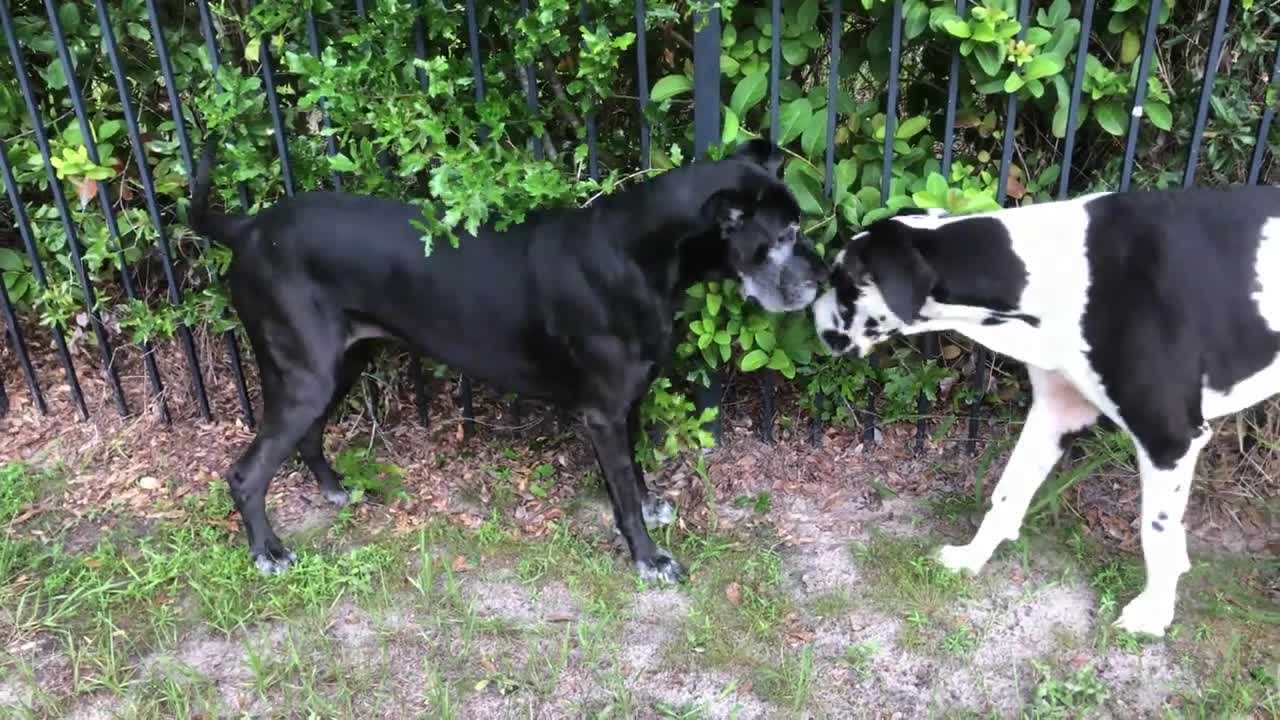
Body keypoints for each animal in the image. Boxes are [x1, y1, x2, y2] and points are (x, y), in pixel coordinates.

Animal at [192, 139, 829, 576]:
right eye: (784, 236)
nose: (824, 278)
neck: (640, 255)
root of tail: (248, 228)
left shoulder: (628, 401)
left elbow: (636, 474)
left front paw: (652, 511)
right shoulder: (603, 413)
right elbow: (622, 492)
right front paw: (648, 558)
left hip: (341, 363)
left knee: (306, 436)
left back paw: (334, 491)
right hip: (306, 372)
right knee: (246, 473)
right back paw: (267, 552)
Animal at [814, 185, 1274, 632]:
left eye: (842, 282)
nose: (810, 316)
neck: (1061, 268)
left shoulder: (1169, 439)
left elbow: (1157, 532)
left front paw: (1154, 615)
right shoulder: (1056, 413)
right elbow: (1006, 493)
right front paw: (971, 558)